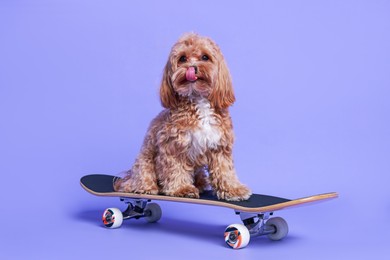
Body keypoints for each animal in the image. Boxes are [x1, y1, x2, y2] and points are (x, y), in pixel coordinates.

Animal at [114, 33, 251, 201]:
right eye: (182, 58)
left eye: (205, 57)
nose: (191, 68)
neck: (198, 100)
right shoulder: (173, 145)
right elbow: (175, 168)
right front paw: (181, 188)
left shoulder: (220, 145)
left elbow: (225, 170)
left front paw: (233, 189)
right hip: (144, 161)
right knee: (142, 177)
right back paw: (146, 187)